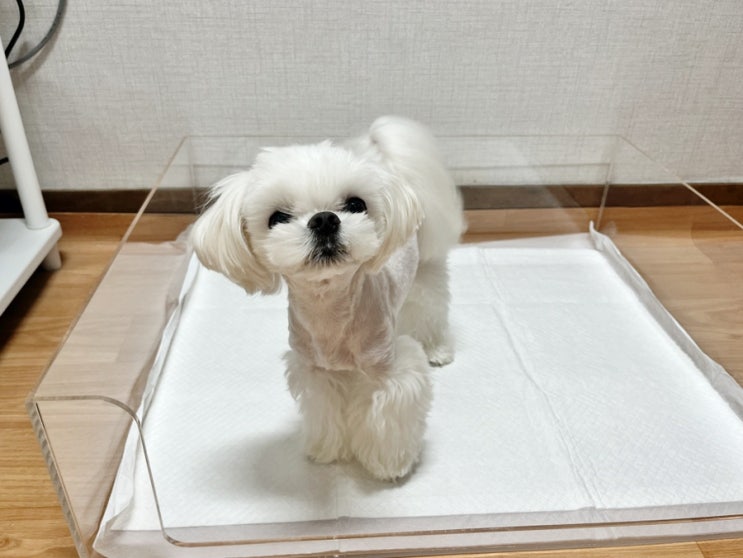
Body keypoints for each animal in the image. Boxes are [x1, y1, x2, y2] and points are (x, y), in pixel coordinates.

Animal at [191, 116, 464, 480]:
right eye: (277, 217)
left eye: (356, 205)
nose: (323, 219)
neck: (331, 311)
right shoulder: (315, 371)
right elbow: (325, 411)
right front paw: (327, 451)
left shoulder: (390, 369)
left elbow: (389, 414)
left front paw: (389, 463)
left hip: (426, 274)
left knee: (430, 309)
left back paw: (437, 349)